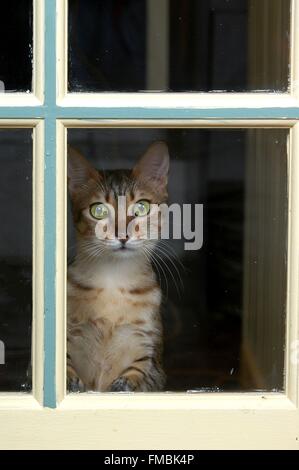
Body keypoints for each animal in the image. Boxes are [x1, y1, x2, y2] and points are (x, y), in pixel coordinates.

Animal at [68, 141, 171, 392]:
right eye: (99, 210)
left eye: (142, 208)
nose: (123, 235)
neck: (112, 284)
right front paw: (71, 381)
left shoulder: (150, 355)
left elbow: (137, 376)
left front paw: (123, 384)